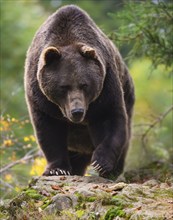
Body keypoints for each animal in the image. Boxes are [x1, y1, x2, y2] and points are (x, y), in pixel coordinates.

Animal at [24, 5, 135, 180]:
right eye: (64, 86)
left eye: (84, 85)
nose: (77, 111)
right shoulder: (41, 98)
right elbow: (49, 130)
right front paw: (57, 169)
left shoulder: (106, 86)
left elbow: (109, 119)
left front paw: (101, 163)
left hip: (127, 94)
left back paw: (114, 171)